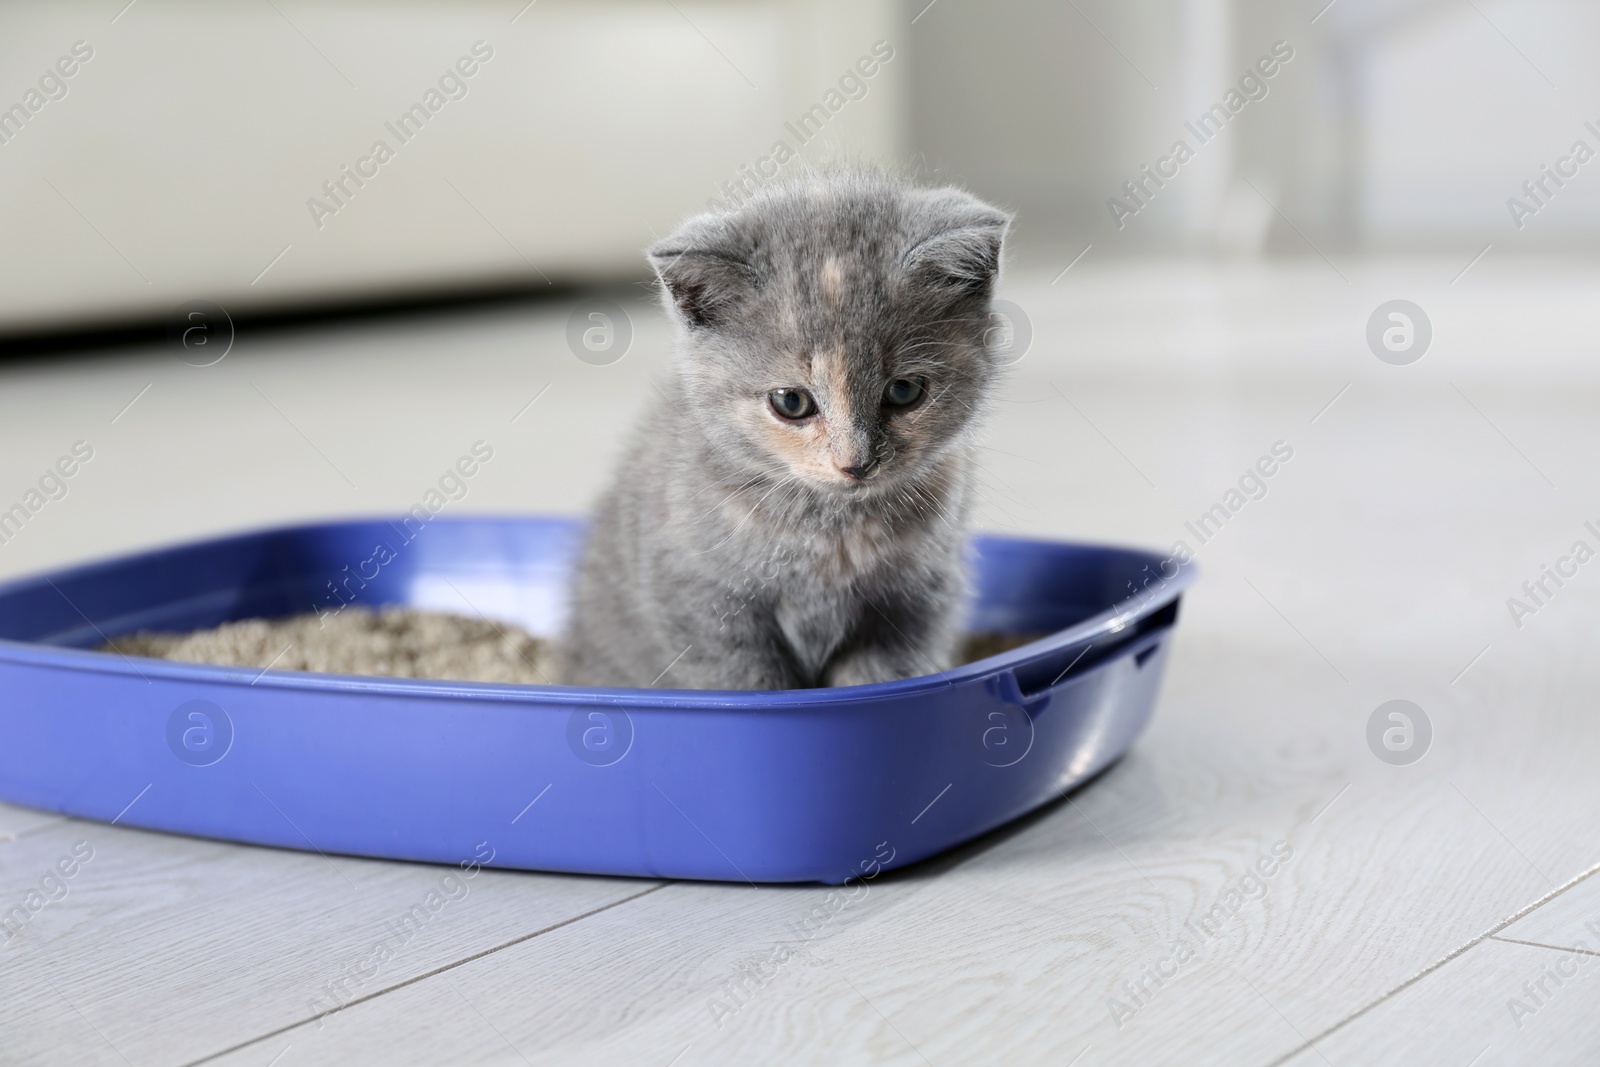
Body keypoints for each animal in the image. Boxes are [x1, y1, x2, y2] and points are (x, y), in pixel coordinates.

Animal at [566, 170, 1011, 687]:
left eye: (904, 391)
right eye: (791, 402)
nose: (856, 463)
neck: (831, 530)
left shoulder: (917, 602)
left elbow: (877, 679)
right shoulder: (698, 598)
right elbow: (750, 683)